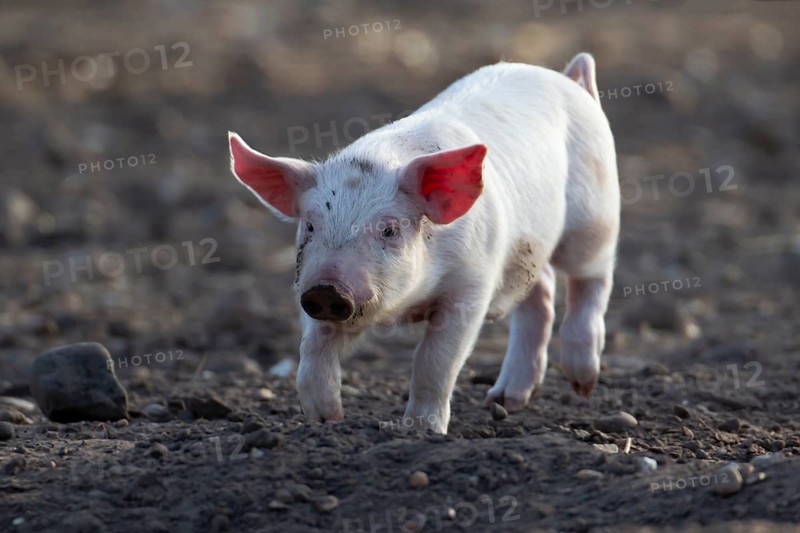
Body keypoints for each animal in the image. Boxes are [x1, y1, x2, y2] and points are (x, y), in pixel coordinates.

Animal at [228, 52, 620, 434]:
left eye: (389, 230)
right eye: (310, 226)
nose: (327, 289)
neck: (408, 305)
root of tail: (569, 80)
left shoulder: (472, 285)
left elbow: (434, 360)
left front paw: (422, 430)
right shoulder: (306, 283)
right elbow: (313, 345)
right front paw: (325, 418)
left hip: (593, 217)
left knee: (593, 276)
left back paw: (583, 381)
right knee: (541, 293)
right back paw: (502, 401)